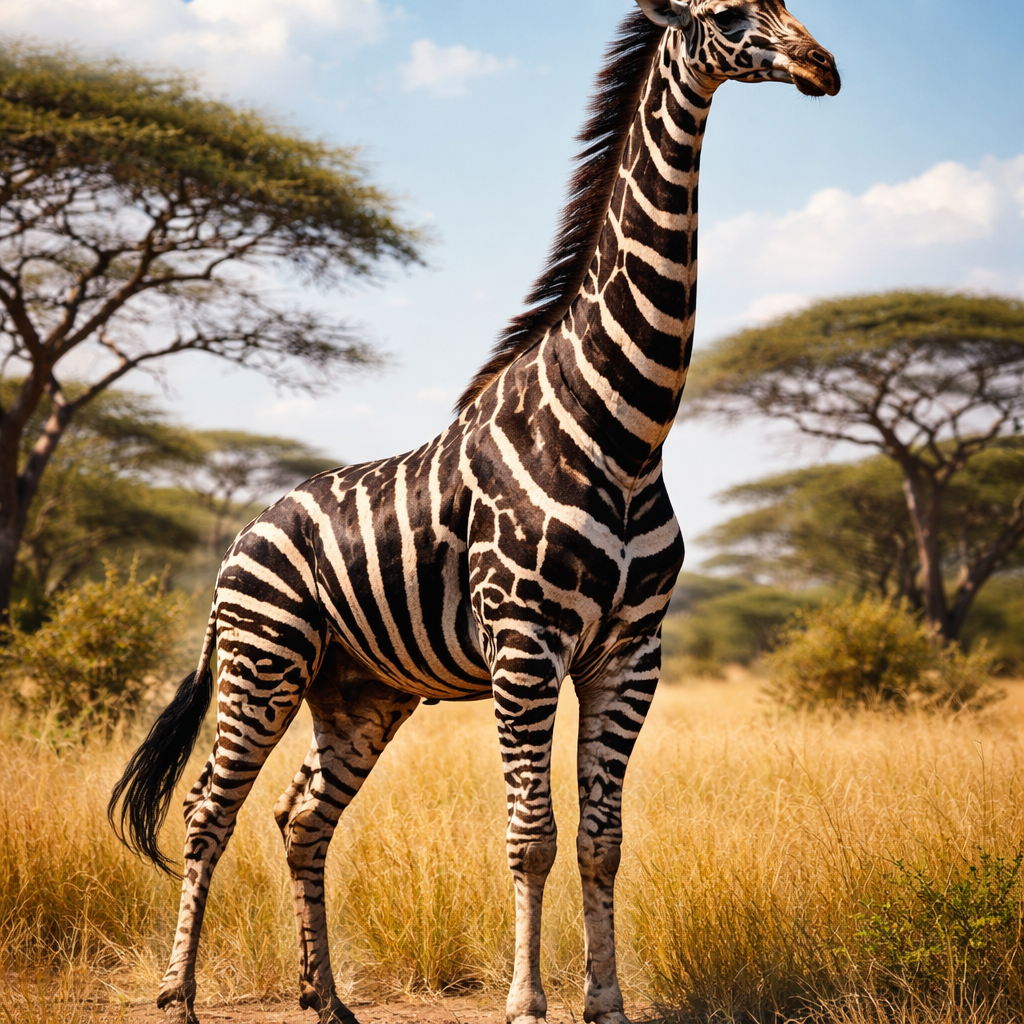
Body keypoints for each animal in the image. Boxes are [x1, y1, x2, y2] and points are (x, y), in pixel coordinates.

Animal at [110, 3, 839, 1023]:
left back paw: (327, 999)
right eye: (726, 16)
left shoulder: (632, 653)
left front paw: (605, 1001)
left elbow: (603, 839)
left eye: (784, 5)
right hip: (264, 658)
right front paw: (527, 1001)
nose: (823, 67)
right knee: (209, 808)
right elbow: (532, 836)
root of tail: (250, 525)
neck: (625, 434)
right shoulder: (526, 646)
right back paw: (177, 995)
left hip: (360, 690)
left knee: (301, 818)